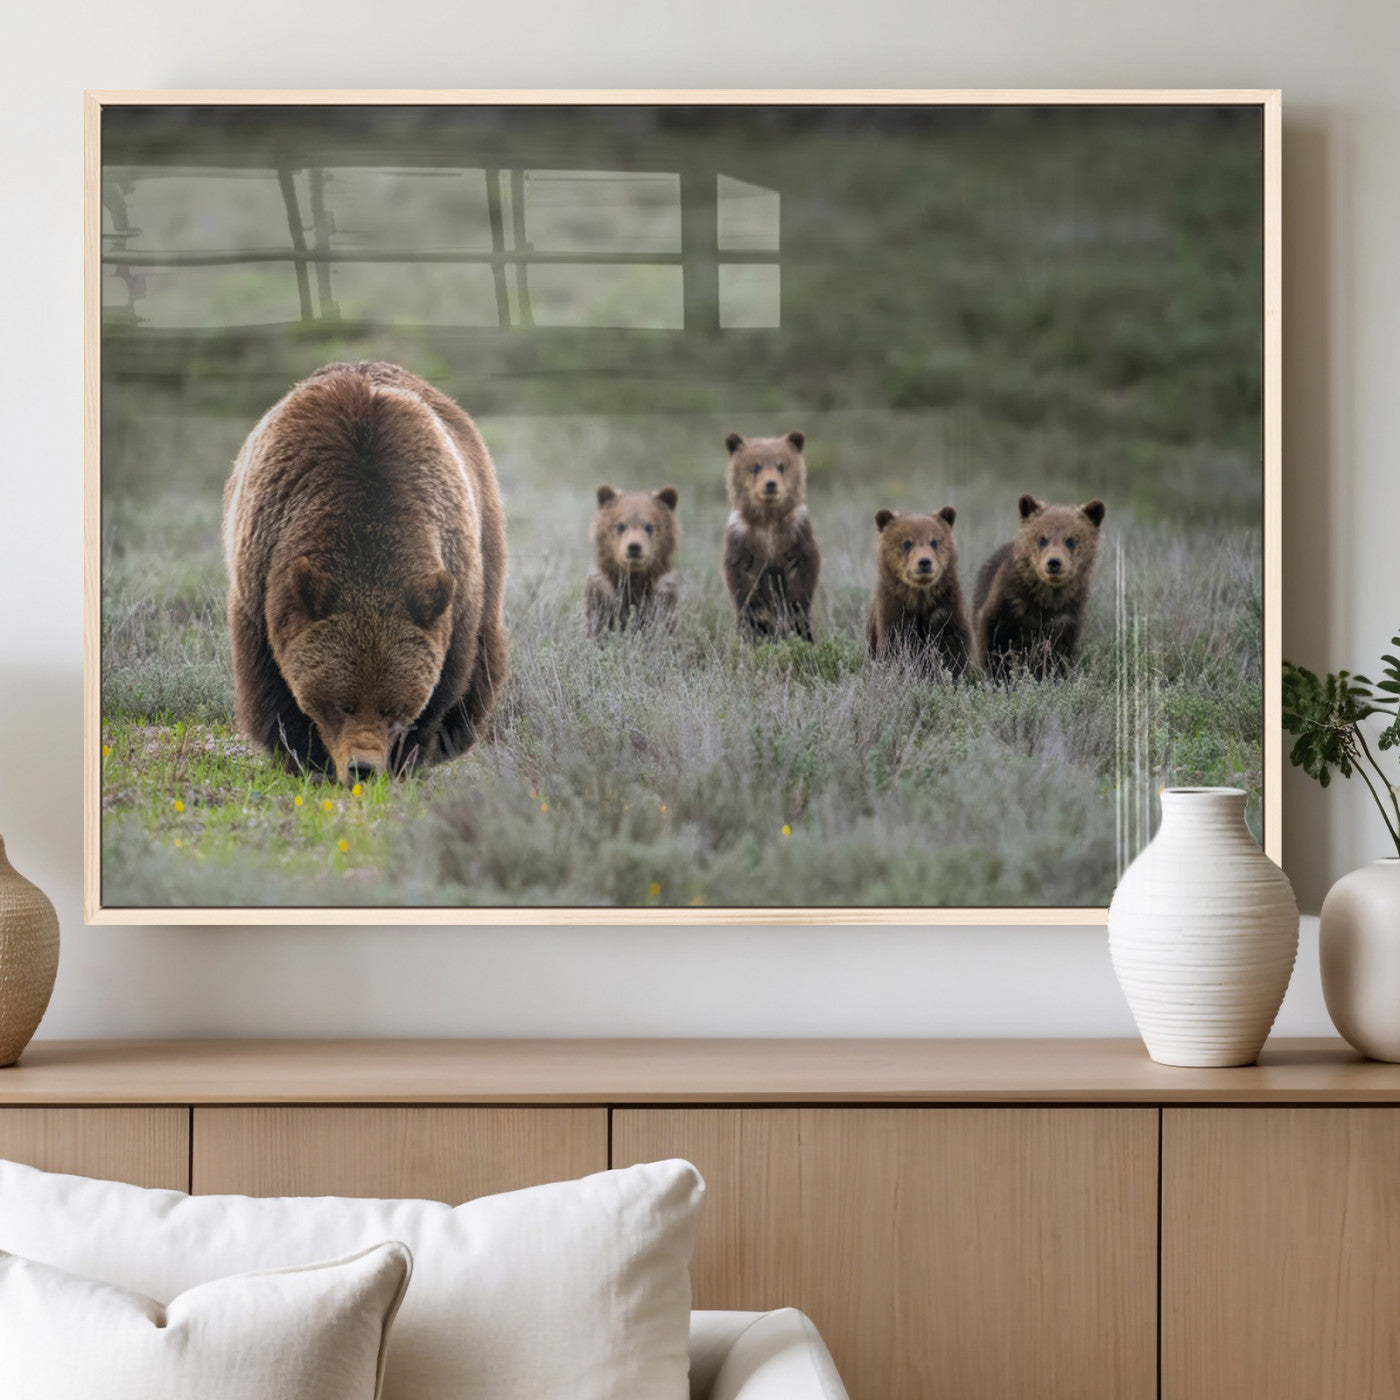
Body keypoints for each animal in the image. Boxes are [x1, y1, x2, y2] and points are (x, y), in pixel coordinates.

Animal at [222, 360, 508, 785]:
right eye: (341, 703)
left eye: (393, 707)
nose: (363, 768)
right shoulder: (262, 577)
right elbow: (271, 687)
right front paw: (304, 758)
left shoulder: (453, 584)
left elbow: (446, 684)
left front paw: (408, 758)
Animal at [584, 484, 681, 637]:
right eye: (621, 525)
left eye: (649, 526)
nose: (634, 547)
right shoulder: (602, 594)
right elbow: (597, 623)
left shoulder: (662, 595)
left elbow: (667, 624)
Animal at [721, 430, 821, 642]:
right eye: (755, 466)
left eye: (781, 465)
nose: (770, 484)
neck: (768, 521)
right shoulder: (742, 538)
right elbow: (741, 579)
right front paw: (760, 619)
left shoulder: (796, 533)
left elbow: (803, 572)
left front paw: (793, 612)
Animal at [866, 506, 973, 678]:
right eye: (907, 543)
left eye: (934, 541)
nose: (924, 562)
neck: (920, 599)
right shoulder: (894, 613)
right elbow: (895, 648)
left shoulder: (946, 609)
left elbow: (952, 650)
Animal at [972, 494, 1106, 681]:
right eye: (1042, 538)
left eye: (1071, 540)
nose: (1054, 562)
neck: (1046, 598)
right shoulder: (1009, 604)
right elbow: (996, 642)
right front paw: (1001, 676)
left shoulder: (1066, 615)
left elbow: (1058, 653)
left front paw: (1053, 676)